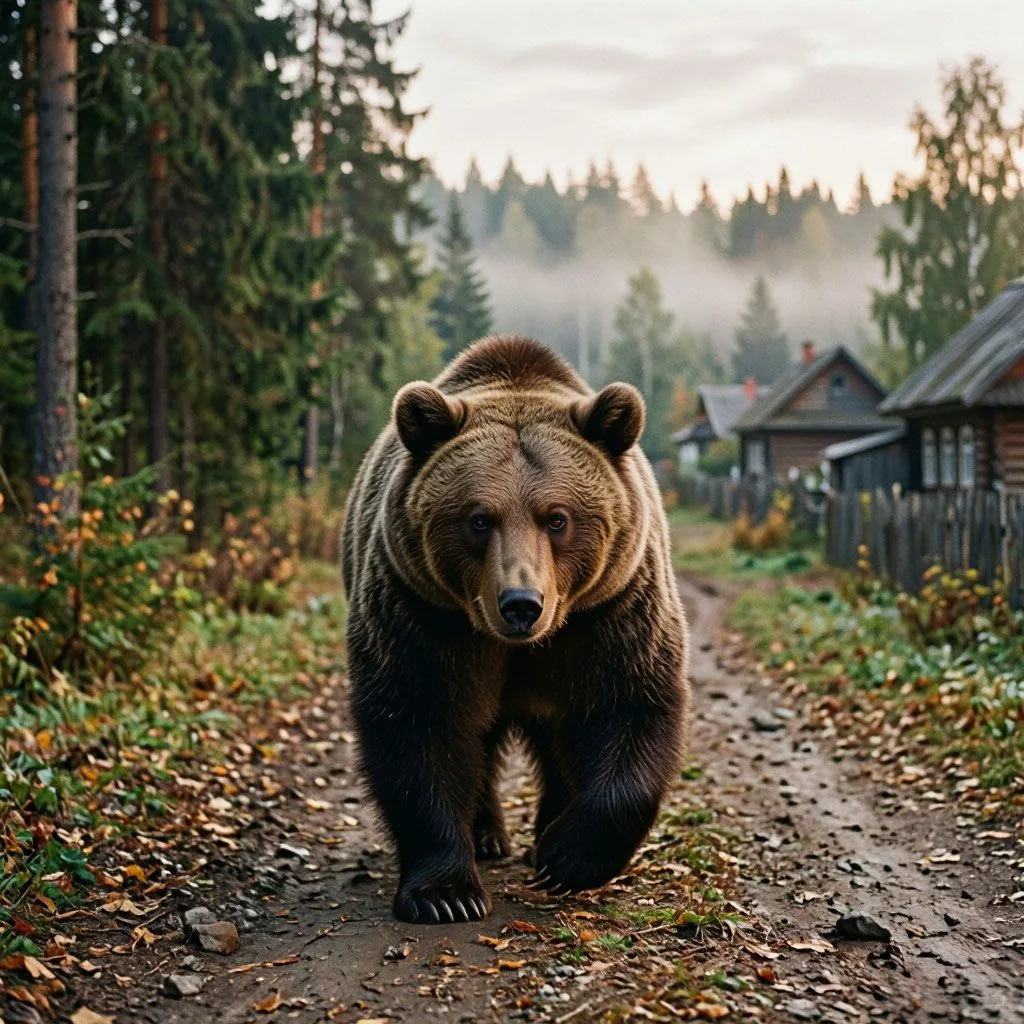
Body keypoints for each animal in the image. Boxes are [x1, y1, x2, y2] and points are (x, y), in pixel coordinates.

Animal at [341, 335, 690, 924]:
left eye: (558, 517)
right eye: (479, 518)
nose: (521, 604)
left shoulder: (612, 611)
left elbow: (630, 703)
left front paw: (565, 857)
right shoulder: (423, 615)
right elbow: (419, 720)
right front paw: (446, 893)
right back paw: (487, 835)